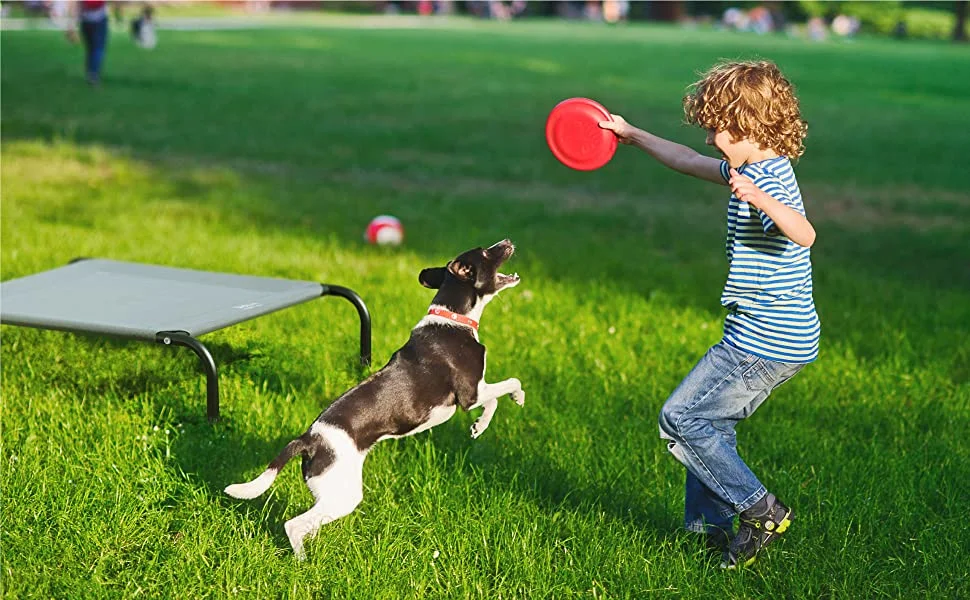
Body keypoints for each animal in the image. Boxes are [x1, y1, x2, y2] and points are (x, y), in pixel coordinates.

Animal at [224, 238, 524, 556]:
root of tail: (309, 439)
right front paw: (517, 398)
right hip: (344, 495)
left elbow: (493, 400)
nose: (507, 242)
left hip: (330, 493)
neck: (453, 318)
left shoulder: (475, 392)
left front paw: (479, 426)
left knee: (309, 523)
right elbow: (508, 385)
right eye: (486, 252)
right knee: (293, 525)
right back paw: (303, 561)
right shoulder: (470, 393)